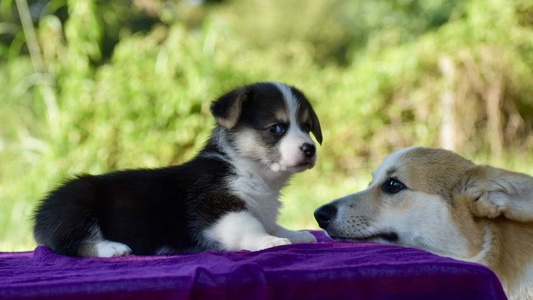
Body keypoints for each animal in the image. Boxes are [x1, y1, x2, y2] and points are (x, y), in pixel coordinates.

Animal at [34, 82, 324, 258]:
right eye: (276, 128)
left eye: (307, 127)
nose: (310, 149)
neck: (251, 171)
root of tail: (40, 212)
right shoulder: (218, 207)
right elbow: (249, 226)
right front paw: (270, 242)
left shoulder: (260, 209)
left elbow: (272, 224)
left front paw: (297, 235)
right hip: (77, 209)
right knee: (69, 244)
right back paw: (112, 248)